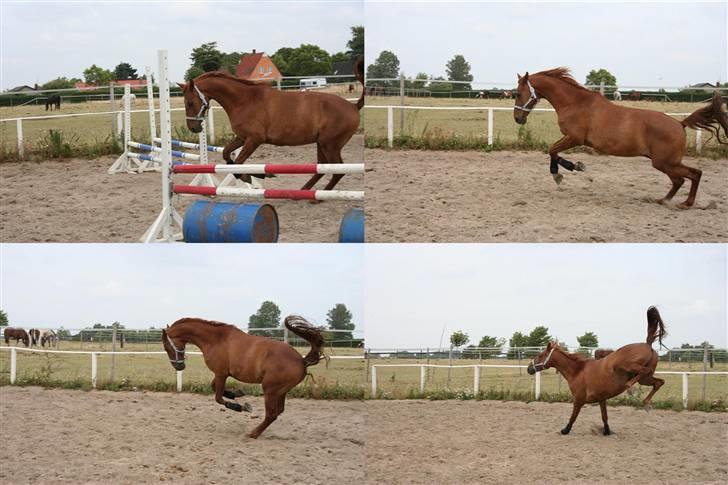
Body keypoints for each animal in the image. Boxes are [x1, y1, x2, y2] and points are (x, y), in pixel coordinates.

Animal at [165, 316, 328, 436]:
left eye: (167, 347)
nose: (179, 367)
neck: (216, 340)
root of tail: (301, 360)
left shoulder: (221, 374)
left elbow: (218, 398)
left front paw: (240, 407)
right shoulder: (221, 374)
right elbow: (215, 388)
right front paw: (236, 393)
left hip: (270, 389)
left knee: (272, 414)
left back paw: (253, 433)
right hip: (281, 391)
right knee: (279, 411)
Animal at [179, 56, 366, 189]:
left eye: (190, 102)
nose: (193, 128)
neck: (244, 100)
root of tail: (353, 106)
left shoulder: (255, 139)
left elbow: (238, 162)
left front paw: (255, 176)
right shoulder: (242, 137)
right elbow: (227, 155)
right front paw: (254, 175)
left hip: (330, 145)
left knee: (337, 171)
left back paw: (318, 195)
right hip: (322, 144)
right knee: (323, 168)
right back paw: (304, 191)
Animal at [512, 67, 728, 207]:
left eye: (519, 93)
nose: (517, 118)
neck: (575, 103)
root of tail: (679, 124)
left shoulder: (574, 138)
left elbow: (552, 150)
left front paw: (562, 172)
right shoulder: (571, 139)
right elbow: (553, 151)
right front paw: (573, 167)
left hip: (664, 162)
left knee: (692, 174)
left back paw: (686, 203)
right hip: (665, 162)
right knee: (681, 180)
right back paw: (664, 200)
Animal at [528, 308, 668, 436]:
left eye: (540, 355)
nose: (529, 368)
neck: (577, 371)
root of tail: (647, 345)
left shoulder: (578, 400)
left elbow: (573, 417)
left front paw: (565, 430)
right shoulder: (602, 399)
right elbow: (604, 417)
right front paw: (606, 431)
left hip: (628, 367)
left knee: (645, 374)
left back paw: (630, 389)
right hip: (645, 379)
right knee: (659, 382)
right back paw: (646, 404)